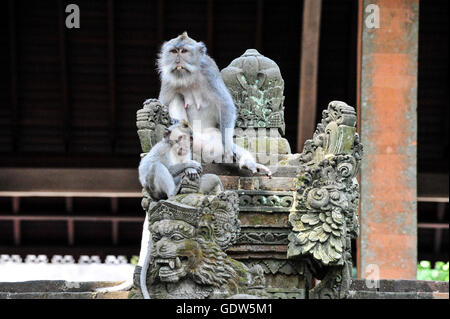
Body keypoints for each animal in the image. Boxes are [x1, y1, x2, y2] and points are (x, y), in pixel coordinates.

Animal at [157, 32, 270, 178]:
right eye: (174, 51)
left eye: (183, 51)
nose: (177, 61)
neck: (188, 77)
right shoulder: (168, 78)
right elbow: (163, 102)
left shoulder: (209, 71)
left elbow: (225, 104)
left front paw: (229, 150)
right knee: (176, 97)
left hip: (212, 138)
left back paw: (247, 162)